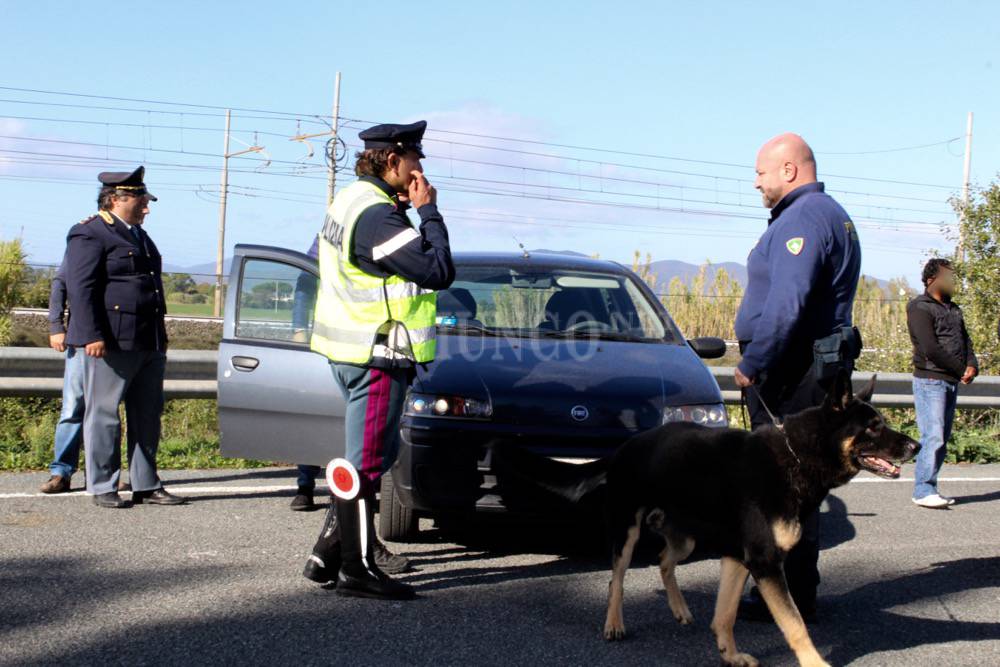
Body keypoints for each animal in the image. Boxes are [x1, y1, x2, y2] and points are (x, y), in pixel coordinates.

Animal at [488, 374, 916, 664]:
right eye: (873, 427)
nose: (916, 445)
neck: (797, 456)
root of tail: (626, 446)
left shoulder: (739, 559)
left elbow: (724, 615)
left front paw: (729, 654)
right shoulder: (765, 563)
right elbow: (795, 625)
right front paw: (815, 663)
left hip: (687, 539)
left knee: (664, 562)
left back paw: (679, 609)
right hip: (627, 533)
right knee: (616, 579)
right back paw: (614, 624)